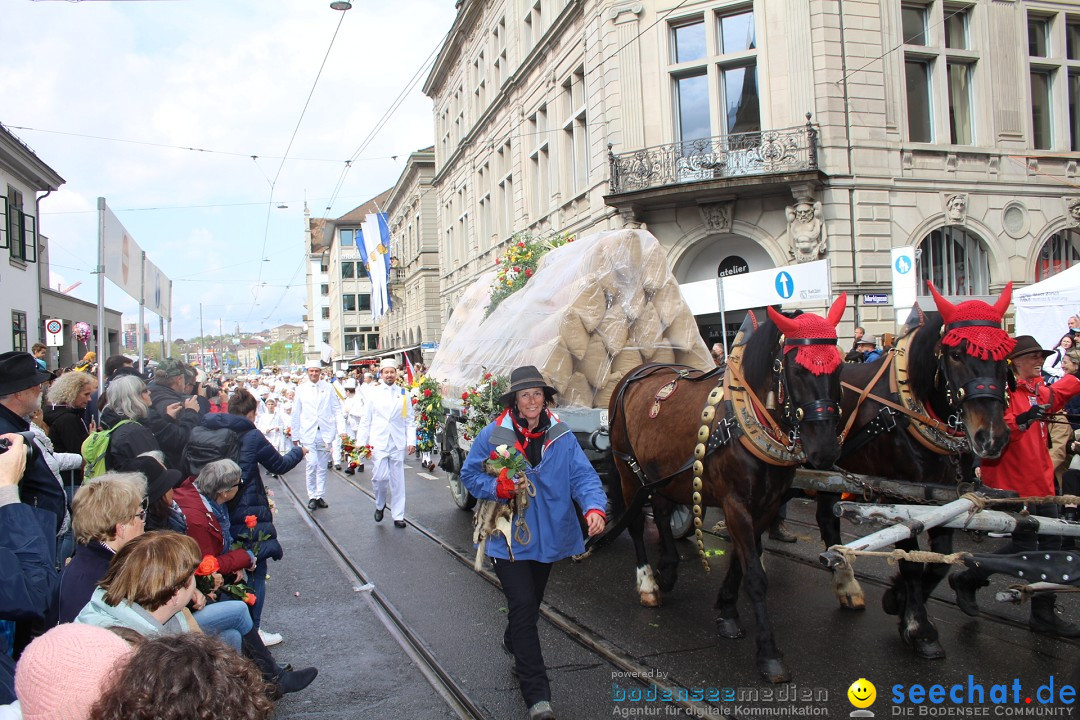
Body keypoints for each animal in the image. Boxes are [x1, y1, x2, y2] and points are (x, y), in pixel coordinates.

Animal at [609, 295, 842, 686]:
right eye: (796, 370)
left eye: (839, 369)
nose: (825, 450)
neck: (745, 418)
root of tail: (635, 373)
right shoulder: (735, 504)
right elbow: (757, 577)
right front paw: (769, 654)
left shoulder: (765, 505)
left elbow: (741, 561)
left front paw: (728, 610)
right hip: (627, 469)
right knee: (638, 524)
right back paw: (648, 582)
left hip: (661, 474)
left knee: (661, 511)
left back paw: (668, 568)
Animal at [816, 284, 1010, 660]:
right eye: (956, 355)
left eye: (1005, 356)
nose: (992, 437)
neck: (910, 409)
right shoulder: (898, 492)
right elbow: (909, 559)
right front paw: (919, 627)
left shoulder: (942, 497)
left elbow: (939, 560)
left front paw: (899, 599)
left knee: (827, 519)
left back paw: (845, 581)